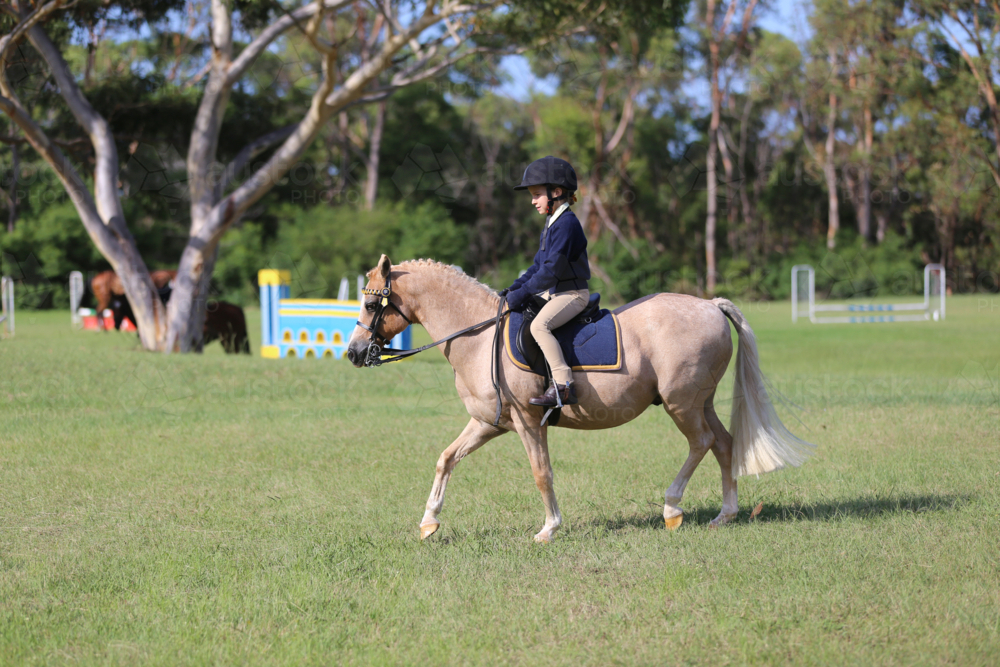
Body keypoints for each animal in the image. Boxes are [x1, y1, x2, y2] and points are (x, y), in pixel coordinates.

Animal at [346, 256, 814, 543]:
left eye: (370, 304)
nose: (352, 353)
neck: (477, 336)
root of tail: (711, 306)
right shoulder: (488, 423)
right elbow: (446, 459)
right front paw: (429, 523)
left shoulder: (528, 423)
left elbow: (542, 474)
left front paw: (549, 529)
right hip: (702, 401)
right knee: (724, 444)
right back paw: (725, 514)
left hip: (681, 403)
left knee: (701, 443)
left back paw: (671, 508)